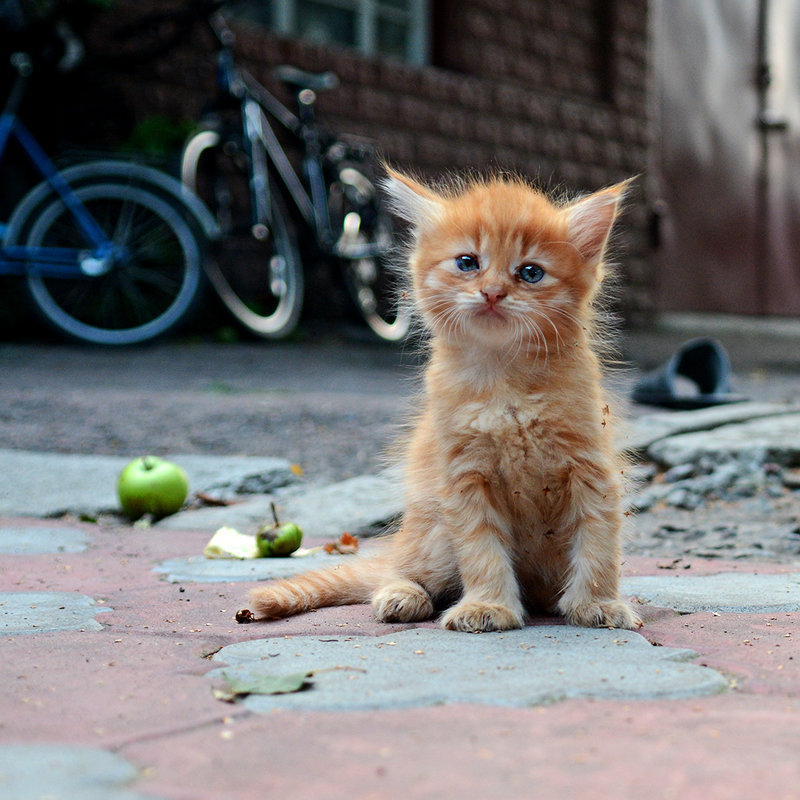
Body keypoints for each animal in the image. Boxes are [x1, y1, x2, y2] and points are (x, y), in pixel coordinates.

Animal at [252, 169, 644, 632]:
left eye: (530, 272)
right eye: (467, 263)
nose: (492, 292)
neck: (505, 385)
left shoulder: (591, 468)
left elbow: (599, 544)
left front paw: (598, 604)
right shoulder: (463, 477)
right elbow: (481, 550)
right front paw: (487, 606)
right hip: (435, 533)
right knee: (396, 571)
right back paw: (402, 595)